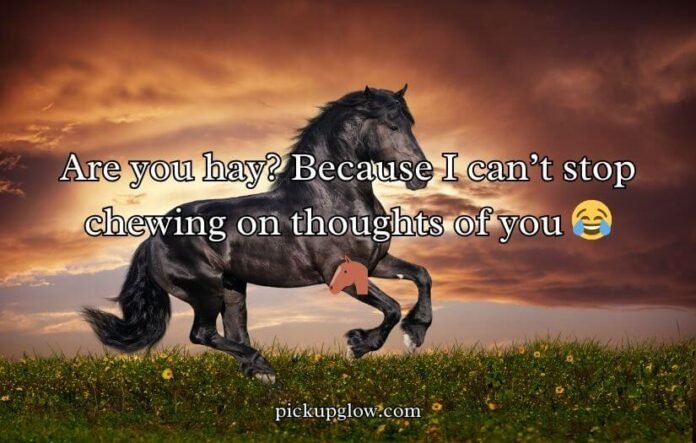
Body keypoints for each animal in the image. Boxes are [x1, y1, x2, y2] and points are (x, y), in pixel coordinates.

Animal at [83, 85, 433, 384]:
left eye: (410, 123)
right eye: (392, 125)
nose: (423, 174)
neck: (333, 200)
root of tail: (153, 239)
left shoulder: (375, 263)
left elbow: (422, 276)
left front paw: (415, 333)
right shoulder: (340, 275)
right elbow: (391, 307)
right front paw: (358, 344)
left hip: (232, 291)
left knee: (233, 333)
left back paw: (258, 372)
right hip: (205, 291)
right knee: (203, 334)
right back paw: (263, 366)